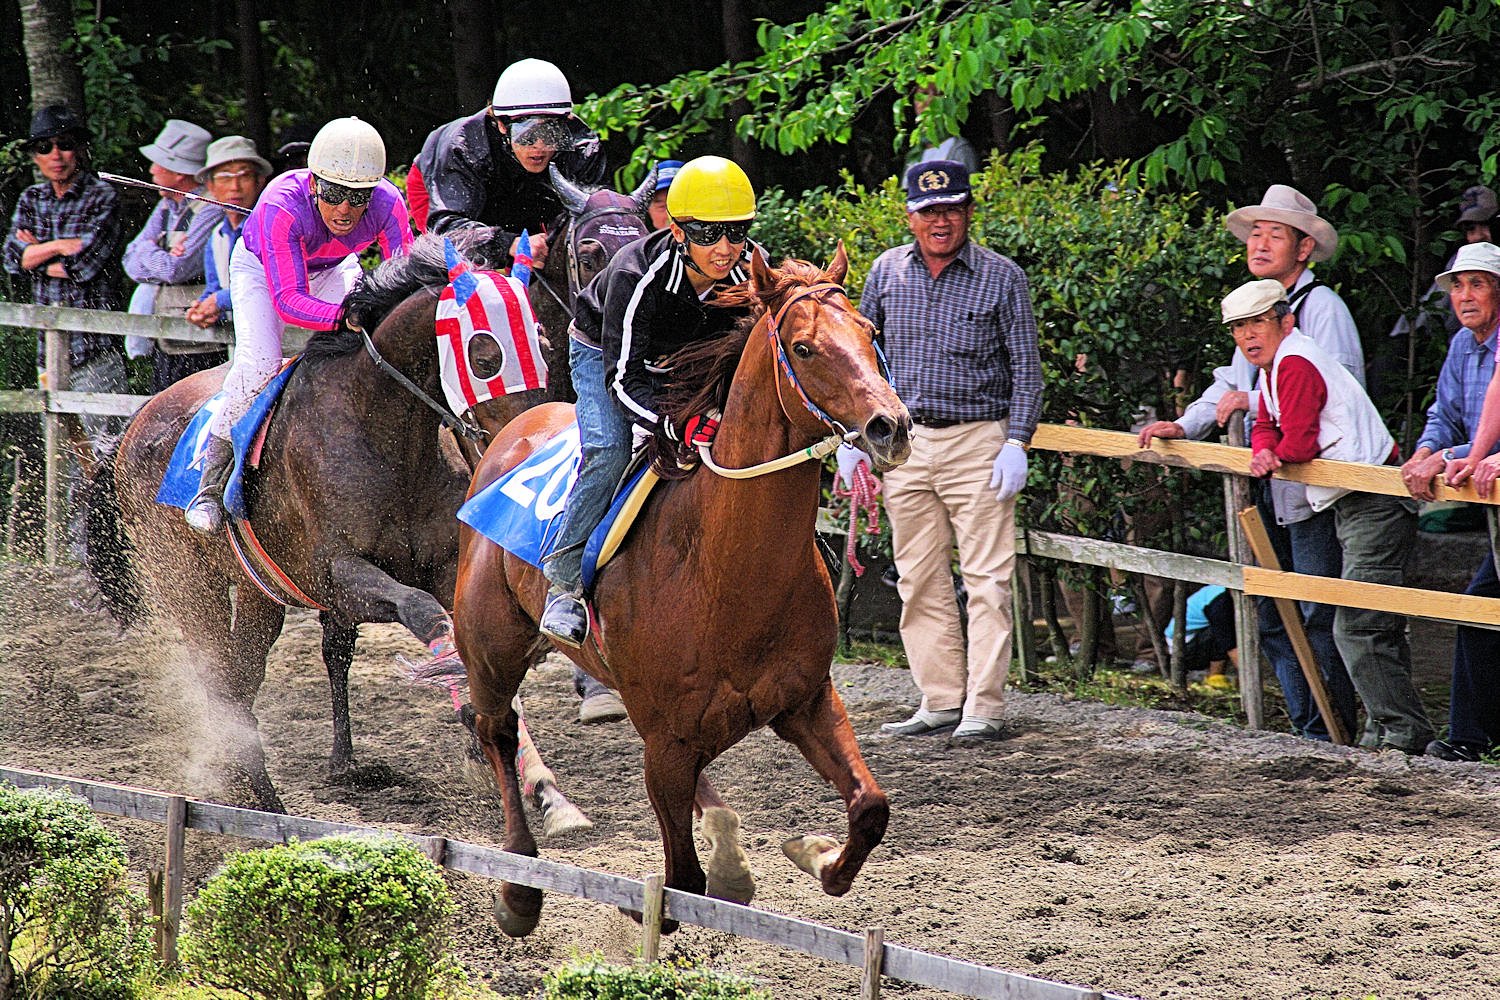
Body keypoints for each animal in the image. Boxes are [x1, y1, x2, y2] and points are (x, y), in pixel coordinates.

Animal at [86, 233, 577, 818]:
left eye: (545, 346)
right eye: (485, 355)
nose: (530, 438)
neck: (386, 434)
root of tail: (131, 426)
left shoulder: (446, 565)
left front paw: (544, 786)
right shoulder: (335, 574)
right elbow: (423, 613)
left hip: (258, 592)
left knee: (244, 676)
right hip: (189, 586)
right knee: (220, 681)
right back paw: (263, 796)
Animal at [451, 246, 911, 935]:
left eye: (871, 331)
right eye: (804, 348)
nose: (891, 427)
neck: (725, 570)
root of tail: (508, 432)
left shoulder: (803, 699)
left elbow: (870, 807)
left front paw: (817, 853)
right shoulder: (666, 742)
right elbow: (678, 890)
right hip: (492, 648)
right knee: (498, 730)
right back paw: (519, 890)